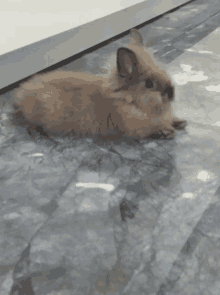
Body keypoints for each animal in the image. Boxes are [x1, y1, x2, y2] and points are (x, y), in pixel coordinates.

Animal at [12, 28, 186, 141]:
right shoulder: (135, 129)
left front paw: (180, 122)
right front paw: (167, 131)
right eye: (149, 83)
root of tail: (20, 94)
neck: (128, 100)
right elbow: (150, 130)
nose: (172, 93)